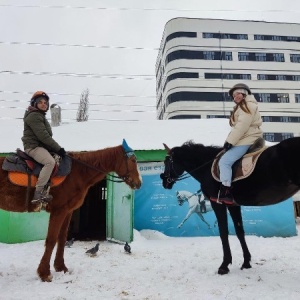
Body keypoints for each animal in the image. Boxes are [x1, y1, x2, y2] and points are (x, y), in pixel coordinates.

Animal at [0, 142, 141, 282]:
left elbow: (62, 238)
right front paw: (44, 273)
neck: (77, 172)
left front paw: (61, 267)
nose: (139, 183)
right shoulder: (59, 211)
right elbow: (51, 240)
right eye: (133, 160)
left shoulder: (67, 211)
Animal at [161, 138, 300, 274]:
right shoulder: (233, 205)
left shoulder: (217, 204)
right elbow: (239, 232)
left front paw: (224, 265)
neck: (206, 167)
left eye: (167, 162)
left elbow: (223, 232)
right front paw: (246, 262)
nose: (164, 182)